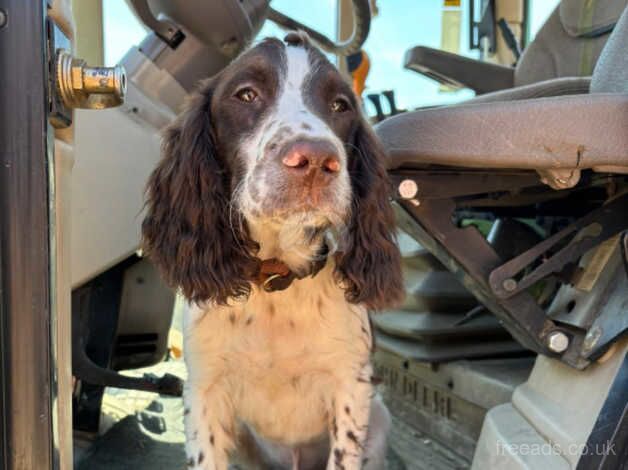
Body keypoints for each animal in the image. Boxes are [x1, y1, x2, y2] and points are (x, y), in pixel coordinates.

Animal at [142, 33, 402, 470]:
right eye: (246, 94)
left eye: (340, 105)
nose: (315, 160)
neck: (278, 281)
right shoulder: (203, 391)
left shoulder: (351, 388)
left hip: (380, 419)